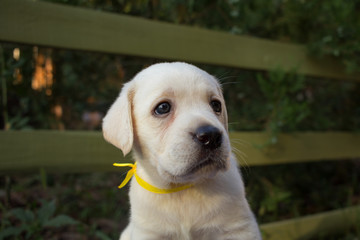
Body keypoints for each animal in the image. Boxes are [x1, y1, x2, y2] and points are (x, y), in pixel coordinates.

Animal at [102, 62, 260, 240]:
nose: (211, 136)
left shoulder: (238, 229)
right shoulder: (149, 233)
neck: (182, 189)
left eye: (216, 105)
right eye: (163, 108)